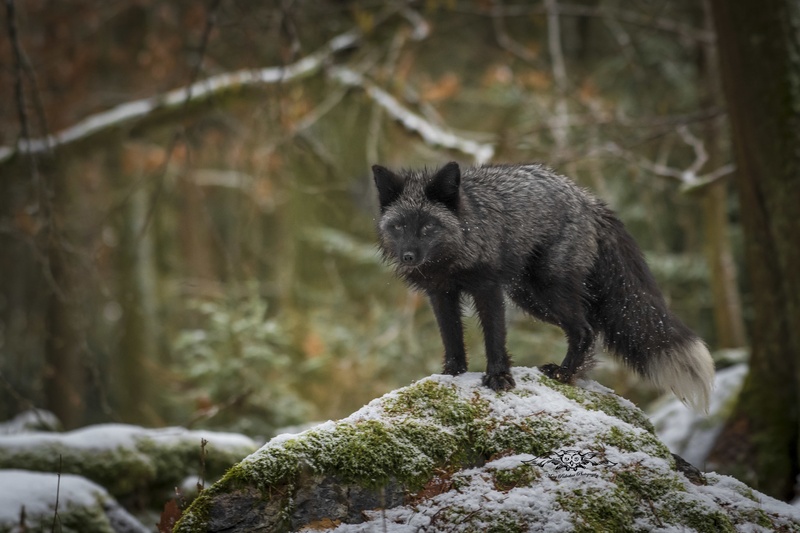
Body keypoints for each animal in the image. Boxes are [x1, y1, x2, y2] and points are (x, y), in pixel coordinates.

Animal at [372, 161, 715, 411]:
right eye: (399, 226)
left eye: (428, 227)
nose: (408, 256)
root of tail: (587, 199)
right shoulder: (441, 294)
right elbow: (452, 339)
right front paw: (452, 375)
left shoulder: (488, 288)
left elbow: (494, 338)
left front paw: (499, 377)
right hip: (530, 297)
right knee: (591, 328)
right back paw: (573, 374)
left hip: (547, 289)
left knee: (585, 330)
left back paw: (564, 374)